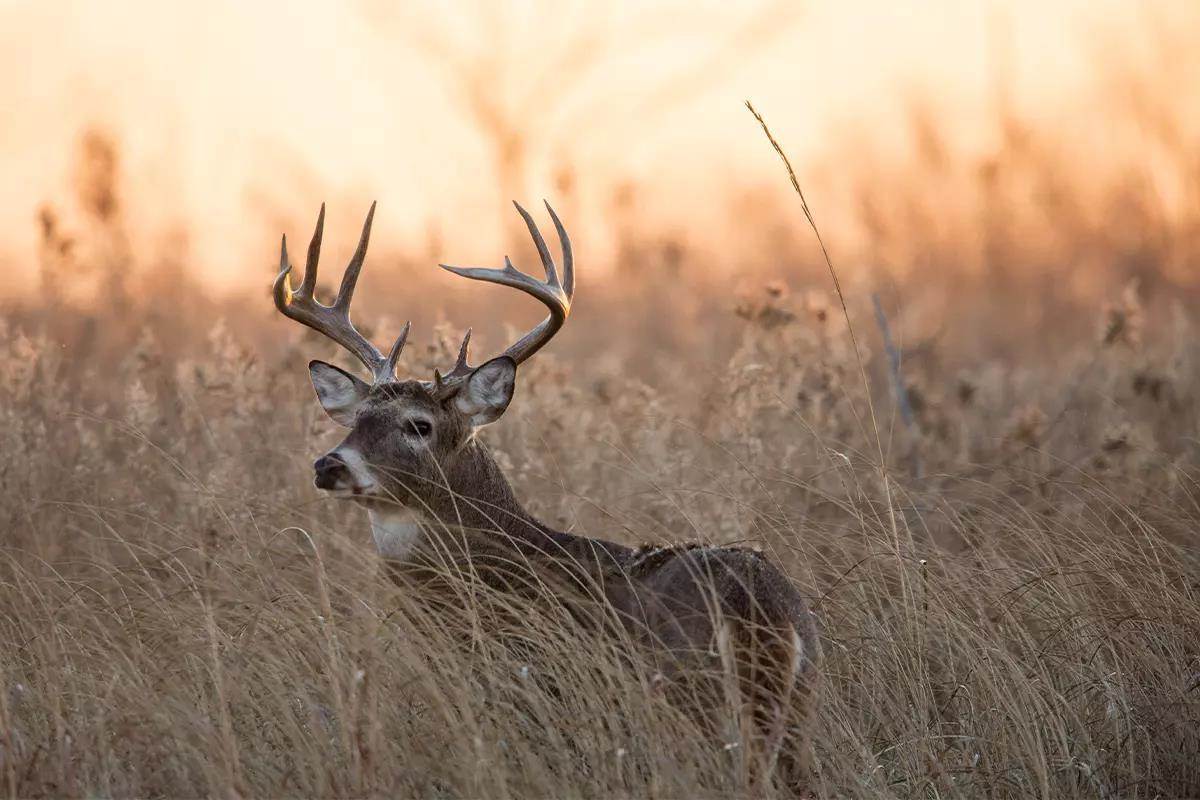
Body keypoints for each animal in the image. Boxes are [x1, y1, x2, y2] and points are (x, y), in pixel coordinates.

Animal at [272, 201, 820, 796]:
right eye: (357, 420)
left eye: (418, 425)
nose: (329, 465)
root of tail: (755, 609)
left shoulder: (536, 690)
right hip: (794, 707)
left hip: (691, 701)